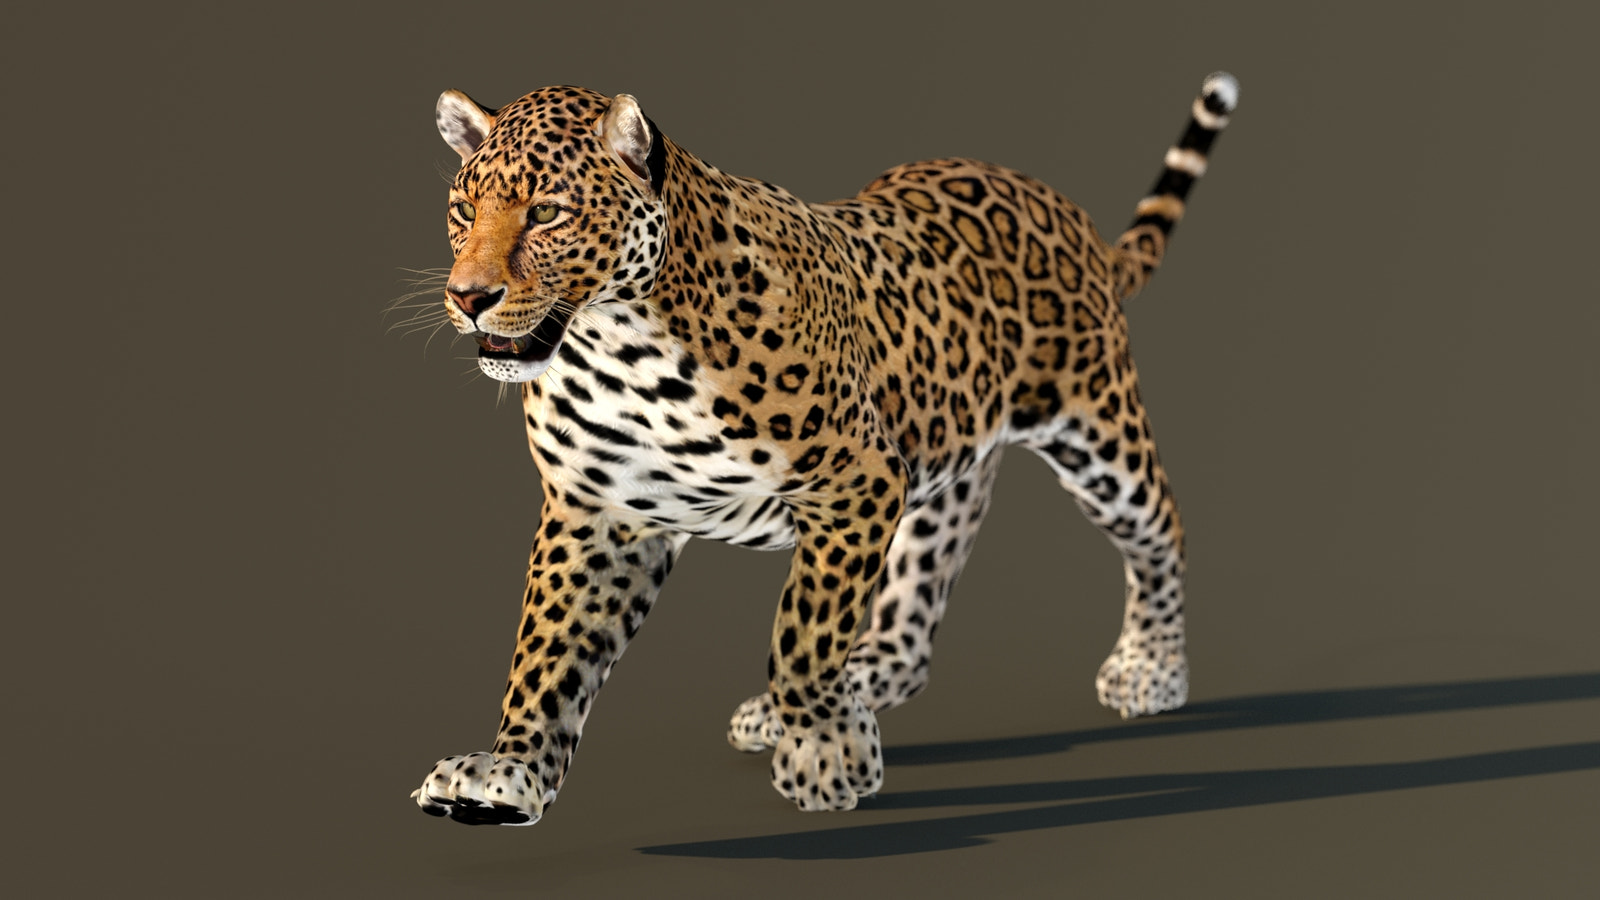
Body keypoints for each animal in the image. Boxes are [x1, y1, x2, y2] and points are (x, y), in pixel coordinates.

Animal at [407, 73, 1239, 825]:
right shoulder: (598, 513)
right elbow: (547, 651)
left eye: (547, 213)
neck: (619, 346)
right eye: (463, 211)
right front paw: (506, 772)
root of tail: (1062, 208)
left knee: (1162, 530)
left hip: (1096, 430)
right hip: (945, 462)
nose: (468, 297)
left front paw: (824, 756)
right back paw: (843, 692)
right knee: (911, 618)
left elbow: (802, 634)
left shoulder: (854, 485)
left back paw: (1150, 669)